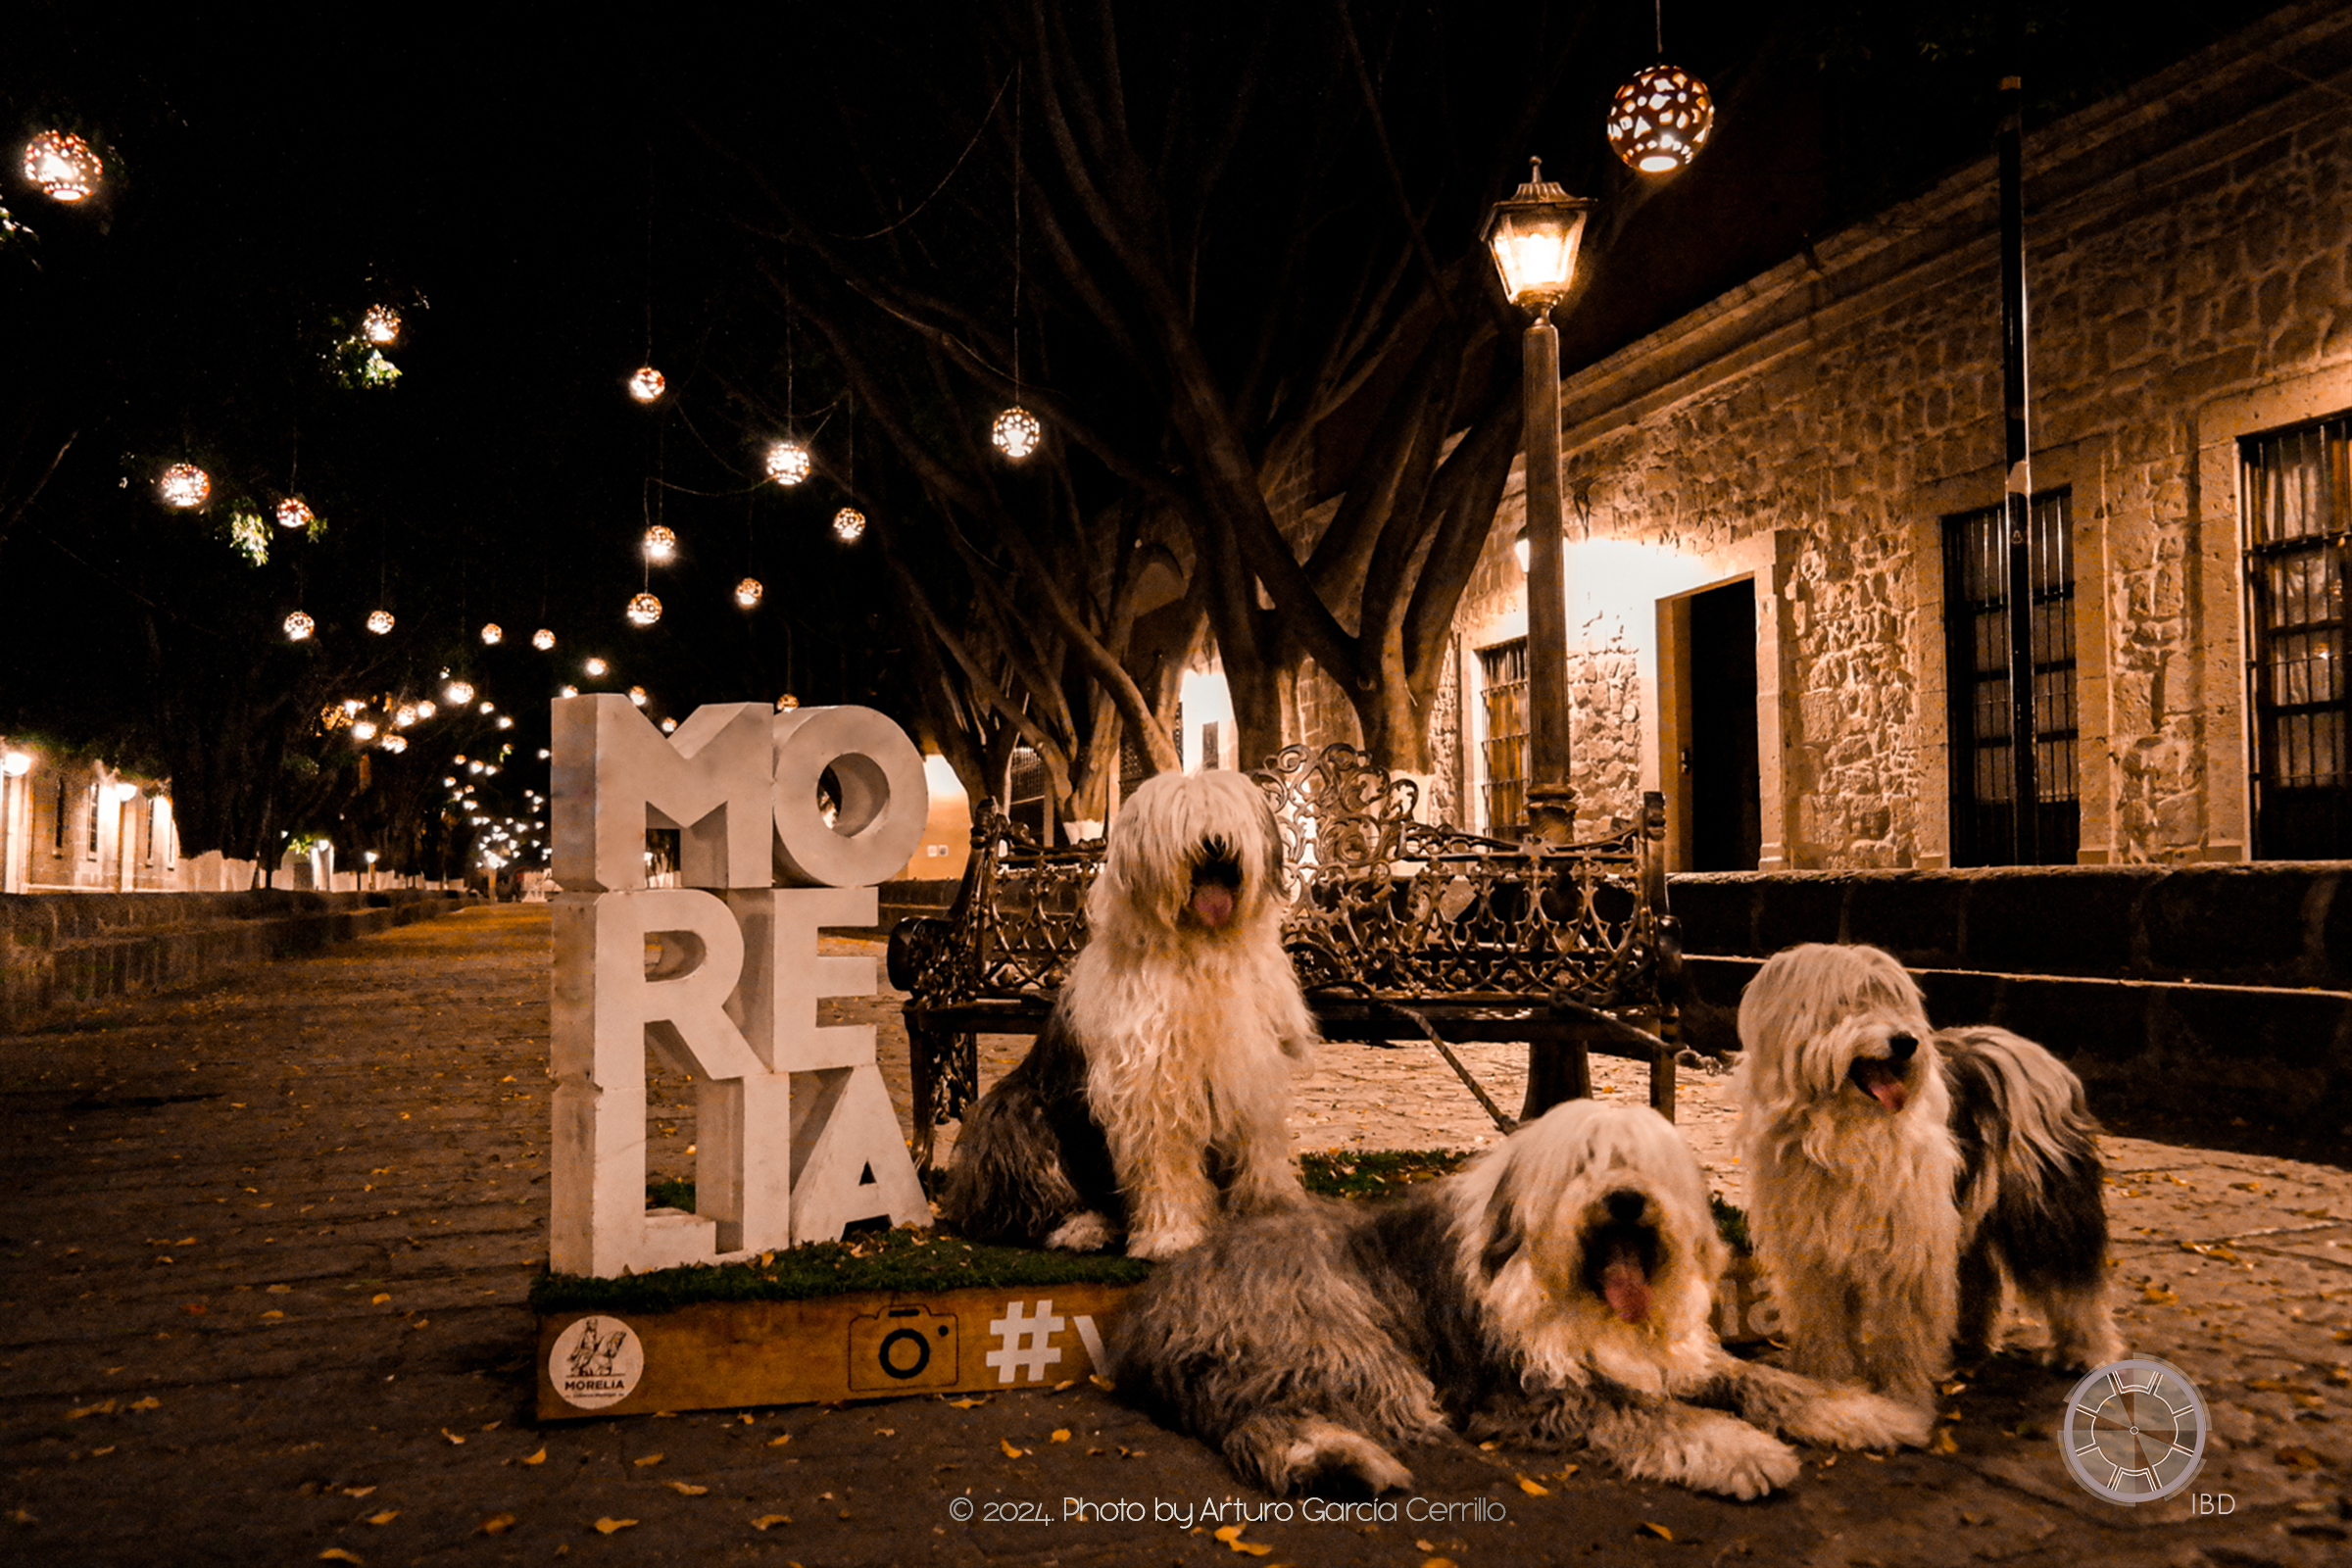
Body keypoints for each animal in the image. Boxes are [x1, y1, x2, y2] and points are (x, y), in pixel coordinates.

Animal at [1109, 1100, 1919, 1504]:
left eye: (1641, 1164)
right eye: (1584, 1165)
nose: (1626, 1202)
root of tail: (1152, 1311)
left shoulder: (1677, 1358)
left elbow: (1765, 1380)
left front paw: (1864, 1411)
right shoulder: (1523, 1392)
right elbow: (1641, 1412)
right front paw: (1743, 1451)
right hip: (1338, 1337)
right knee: (1274, 1418)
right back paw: (1343, 1461)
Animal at [1731, 945, 2135, 1410]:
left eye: (1896, 1001)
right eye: (1850, 1002)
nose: (1906, 1042)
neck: (1840, 1129)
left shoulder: (1909, 1247)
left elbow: (1902, 1328)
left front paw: (1901, 1392)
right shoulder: (1813, 1253)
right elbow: (1825, 1321)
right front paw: (1831, 1381)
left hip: (2044, 1206)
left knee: (2074, 1282)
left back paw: (2086, 1351)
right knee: (1981, 1277)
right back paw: (1969, 1344)